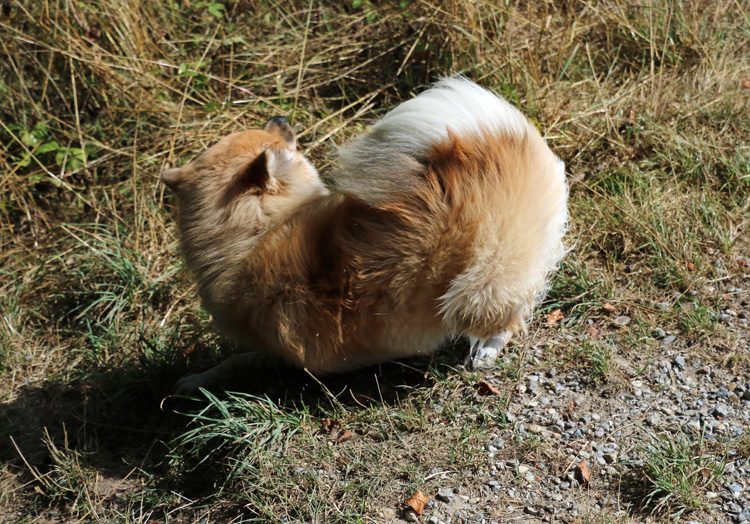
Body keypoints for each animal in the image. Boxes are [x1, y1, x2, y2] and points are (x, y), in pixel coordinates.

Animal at [162, 75, 568, 390]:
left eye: (281, 138)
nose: (279, 116)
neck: (252, 237)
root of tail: (486, 147)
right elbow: (234, 362)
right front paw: (196, 380)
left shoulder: (280, 354)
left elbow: (241, 360)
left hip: (480, 281)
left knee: (508, 315)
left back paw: (484, 351)